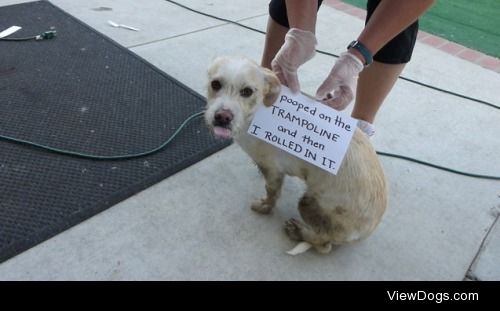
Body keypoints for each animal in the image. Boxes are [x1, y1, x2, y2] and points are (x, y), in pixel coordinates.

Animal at [203, 56, 386, 255]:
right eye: (215, 84)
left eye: (247, 91)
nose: (222, 117)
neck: (256, 114)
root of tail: (367, 231)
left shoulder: (273, 170)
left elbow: (272, 192)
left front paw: (265, 206)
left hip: (309, 203)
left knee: (324, 245)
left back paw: (298, 231)